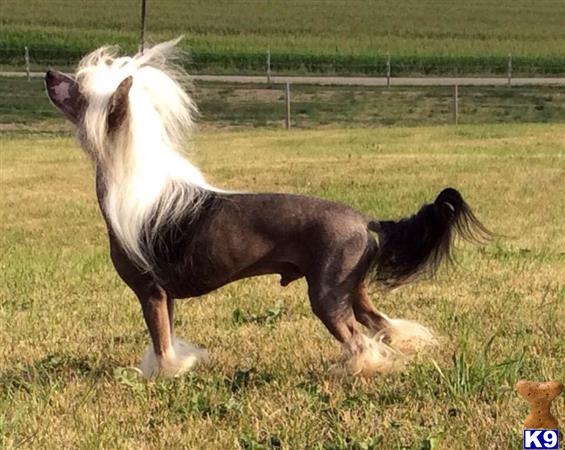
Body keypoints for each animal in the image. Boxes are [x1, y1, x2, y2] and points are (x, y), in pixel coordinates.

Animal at [45, 38, 490, 378]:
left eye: (79, 89)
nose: (49, 75)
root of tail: (367, 222)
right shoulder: (165, 296)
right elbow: (166, 335)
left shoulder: (149, 291)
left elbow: (162, 343)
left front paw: (163, 375)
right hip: (352, 289)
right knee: (379, 322)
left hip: (327, 294)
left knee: (358, 339)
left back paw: (357, 370)